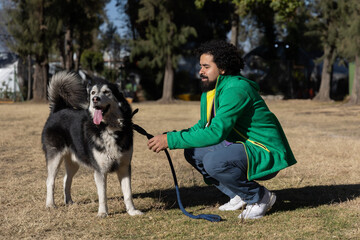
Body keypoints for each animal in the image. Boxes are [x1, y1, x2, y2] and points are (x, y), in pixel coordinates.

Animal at [42, 71, 142, 218]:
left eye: (106, 92)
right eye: (93, 92)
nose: (95, 99)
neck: (108, 128)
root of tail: (58, 109)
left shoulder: (124, 167)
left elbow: (128, 193)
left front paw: (132, 211)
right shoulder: (100, 171)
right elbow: (102, 195)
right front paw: (102, 213)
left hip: (74, 162)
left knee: (66, 180)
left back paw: (69, 201)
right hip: (55, 157)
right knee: (50, 181)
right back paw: (50, 204)